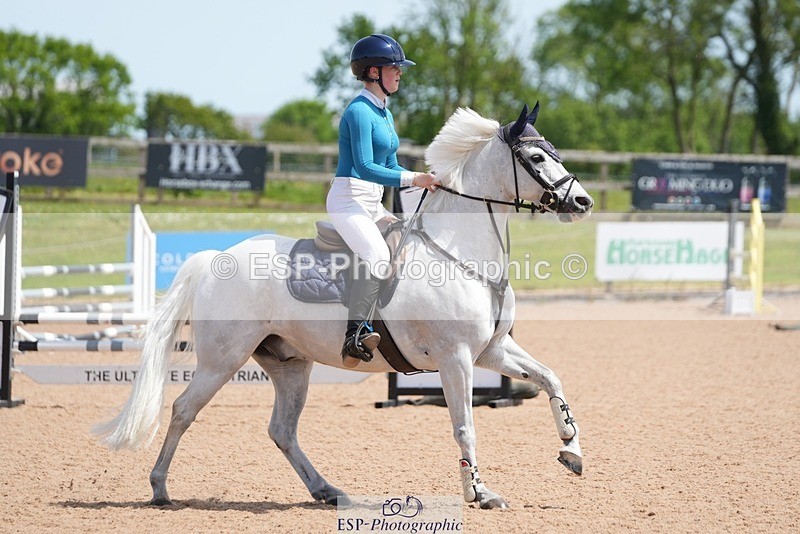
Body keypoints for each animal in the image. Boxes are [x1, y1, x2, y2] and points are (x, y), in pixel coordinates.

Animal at [94, 102, 593, 510]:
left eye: (555, 152)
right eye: (536, 158)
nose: (582, 201)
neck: (458, 251)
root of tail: (215, 258)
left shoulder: (491, 350)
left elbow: (551, 377)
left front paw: (571, 450)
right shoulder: (457, 358)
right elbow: (465, 425)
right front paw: (479, 492)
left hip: (289, 364)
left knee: (281, 430)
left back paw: (327, 490)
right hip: (223, 359)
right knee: (183, 410)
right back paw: (160, 488)